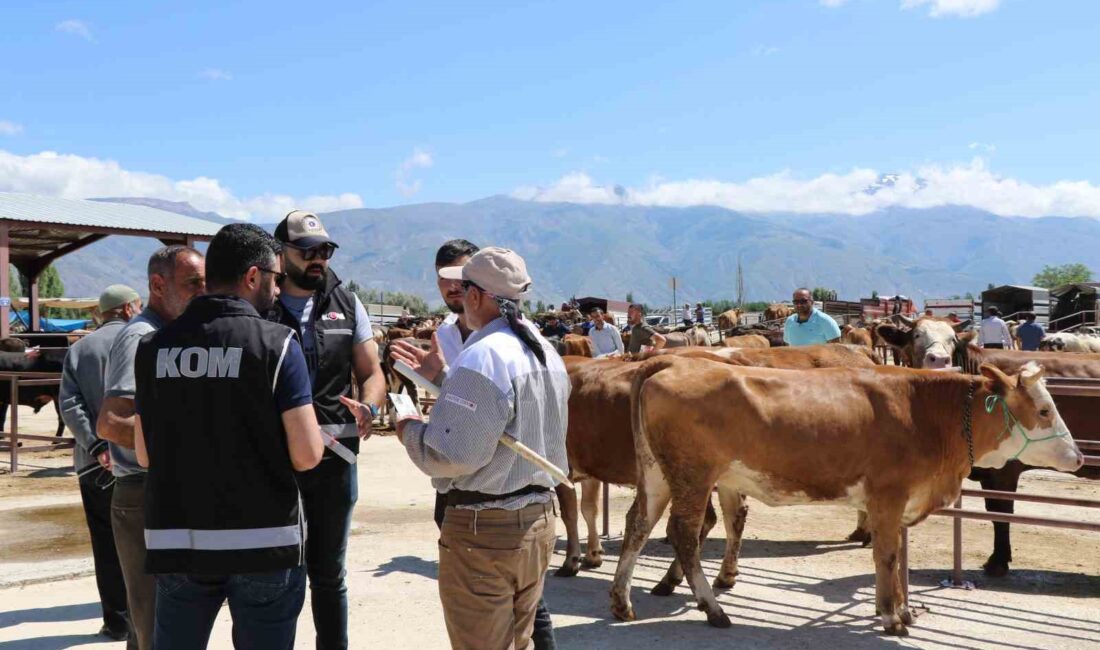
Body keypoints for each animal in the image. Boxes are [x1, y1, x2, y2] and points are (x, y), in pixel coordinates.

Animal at [611, 356, 1082, 637]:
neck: (927, 414)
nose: (1078, 456)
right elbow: (887, 557)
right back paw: (711, 608)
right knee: (684, 535)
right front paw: (892, 616)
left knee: (638, 524)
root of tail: (674, 364)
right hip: (692, 476)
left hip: (657, 474)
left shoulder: (899, 503)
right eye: (1044, 410)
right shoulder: (887, 498)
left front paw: (902, 610)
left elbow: (897, 557)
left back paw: (622, 601)